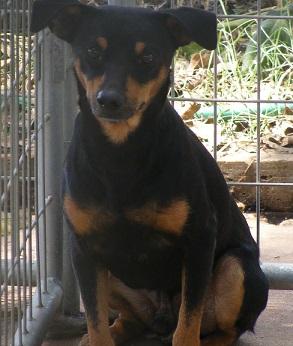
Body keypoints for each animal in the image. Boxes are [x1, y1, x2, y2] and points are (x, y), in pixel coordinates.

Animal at [31, 1, 266, 344]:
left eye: (149, 56)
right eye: (93, 51)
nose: (109, 100)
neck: (120, 154)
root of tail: (160, 318)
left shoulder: (199, 239)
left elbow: (188, 324)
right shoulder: (84, 249)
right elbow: (95, 320)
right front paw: (97, 335)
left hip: (239, 268)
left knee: (227, 328)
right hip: (113, 275)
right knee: (129, 319)